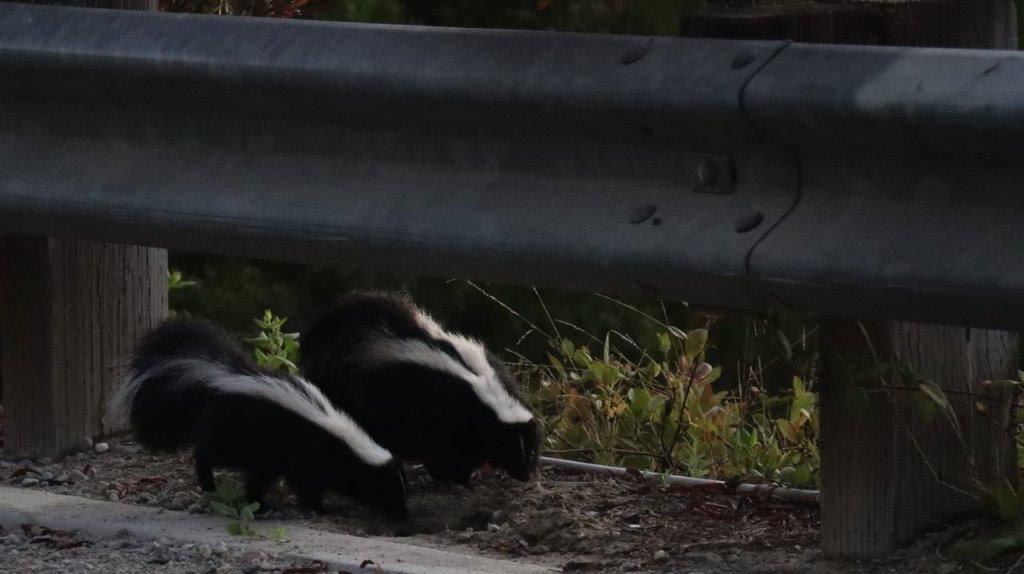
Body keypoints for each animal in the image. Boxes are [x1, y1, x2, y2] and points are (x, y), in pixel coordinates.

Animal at [105, 317, 405, 519]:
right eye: (386, 488)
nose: (404, 517)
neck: (346, 443)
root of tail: (221, 374)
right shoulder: (306, 456)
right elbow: (307, 486)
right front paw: (321, 508)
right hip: (237, 436)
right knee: (207, 454)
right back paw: (215, 487)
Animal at [299, 290, 540, 482]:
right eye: (510, 447)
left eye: (531, 452)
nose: (525, 476)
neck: (488, 395)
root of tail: (376, 337)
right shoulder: (448, 415)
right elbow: (450, 453)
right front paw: (458, 477)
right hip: (380, 397)